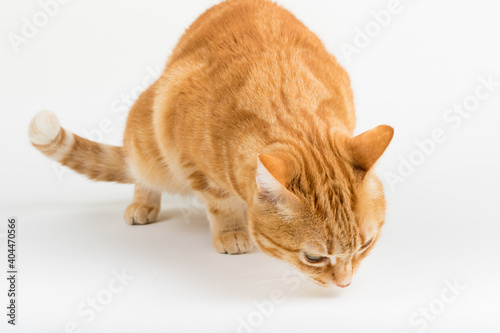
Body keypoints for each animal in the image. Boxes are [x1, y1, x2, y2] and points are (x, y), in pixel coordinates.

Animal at [28, 0, 394, 286]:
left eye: (366, 245)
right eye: (313, 257)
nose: (345, 283)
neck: (287, 107)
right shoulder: (188, 155)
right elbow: (220, 201)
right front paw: (232, 231)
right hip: (147, 140)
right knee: (140, 172)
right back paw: (144, 203)